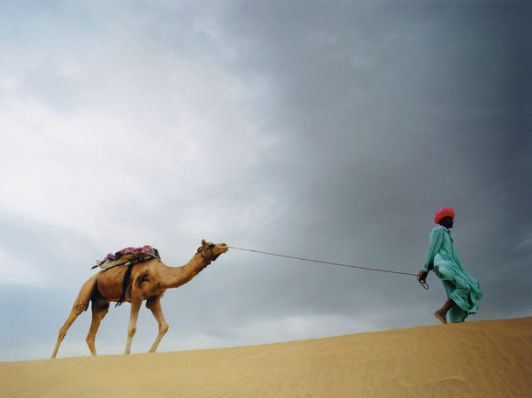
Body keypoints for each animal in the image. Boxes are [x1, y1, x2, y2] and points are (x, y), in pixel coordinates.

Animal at [52, 239, 229, 358]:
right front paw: (126, 354)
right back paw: (52, 358)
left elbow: (164, 326)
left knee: (91, 334)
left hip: (100, 303)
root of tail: (93, 276)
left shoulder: (153, 299)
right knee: (68, 323)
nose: (225, 245)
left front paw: (150, 353)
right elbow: (132, 328)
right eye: (211, 245)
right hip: (86, 290)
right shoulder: (136, 294)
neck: (160, 274)